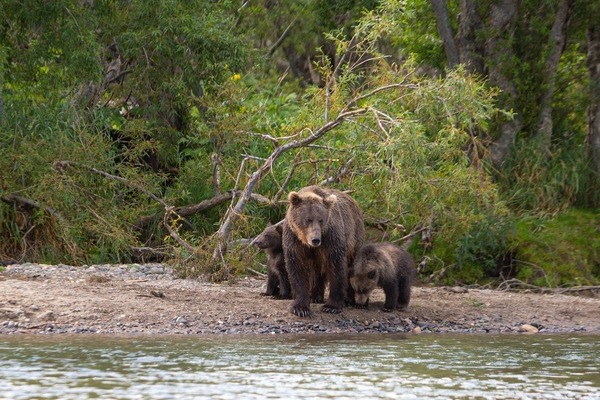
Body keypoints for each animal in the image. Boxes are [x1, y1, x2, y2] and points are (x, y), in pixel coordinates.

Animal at [282, 186, 364, 318]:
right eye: (308, 219)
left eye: (321, 220)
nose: (315, 239)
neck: (305, 240)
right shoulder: (294, 239)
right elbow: (297, 267)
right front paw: (300, 308)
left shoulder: (330, 237)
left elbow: (336, 266)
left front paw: (331, 306)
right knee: (316, 271)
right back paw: (315, 296)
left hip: (354, 235)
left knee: (353, 265)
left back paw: (349, 300)